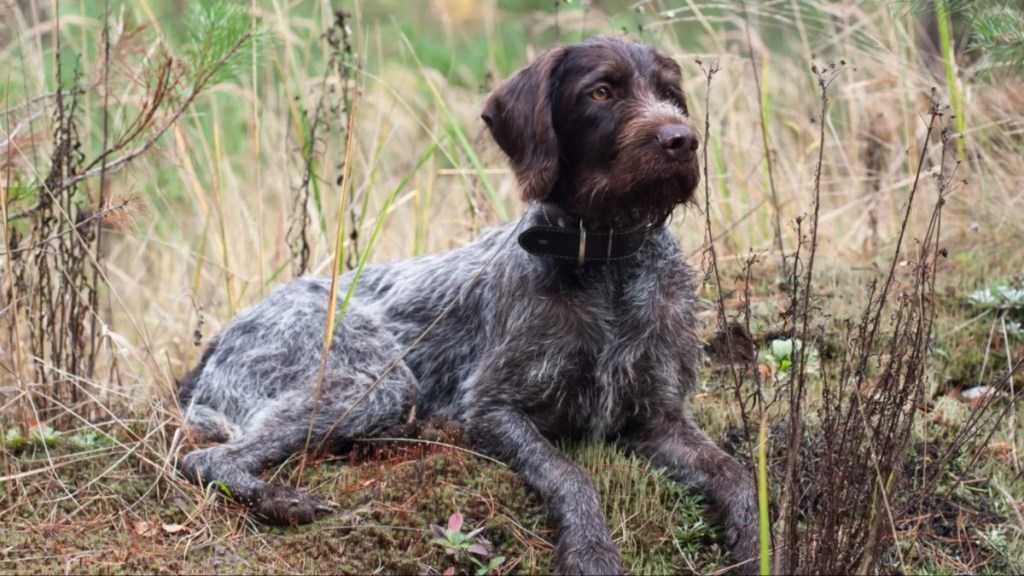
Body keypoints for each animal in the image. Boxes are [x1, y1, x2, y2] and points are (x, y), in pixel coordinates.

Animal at [176, 34, 757, 569]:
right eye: (602, 91)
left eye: (670, 94)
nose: (683, 140)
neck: (604, 258)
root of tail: (224, 335)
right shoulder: (491, 409)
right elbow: (569, 473)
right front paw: (591, 550)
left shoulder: (659, 417)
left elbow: (737, 475)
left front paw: (756, 542)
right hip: (371, 382)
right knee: (204, 460)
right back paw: (280, 499)